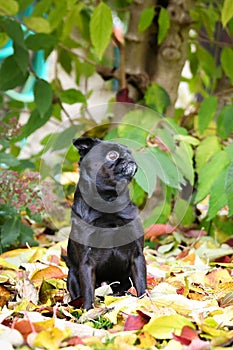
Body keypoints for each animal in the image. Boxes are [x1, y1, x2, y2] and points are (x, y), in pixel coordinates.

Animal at [66, 137, 147, 308]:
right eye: (112, 155)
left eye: (129, 152)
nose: (129, 157)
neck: (109, 203)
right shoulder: (86, 263)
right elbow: (88, 291)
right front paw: (88, 311)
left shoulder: (137, 256)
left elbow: (142, 284)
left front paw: (147, 304)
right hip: (72, 275)